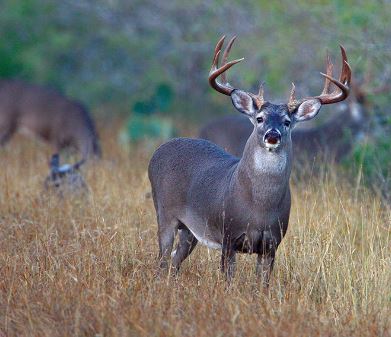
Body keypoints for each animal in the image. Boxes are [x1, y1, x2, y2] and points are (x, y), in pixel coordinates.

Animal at [149, 36, 354, 284]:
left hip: (190, 230)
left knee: (175, 260)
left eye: (287, 121)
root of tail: (160, 149)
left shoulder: (272, 244)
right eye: (260, 118)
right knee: (162, 259)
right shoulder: (229, 236)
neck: (259, 208)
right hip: (164, 213)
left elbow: (262, 285)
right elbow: (227, 280)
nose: (272, 135)